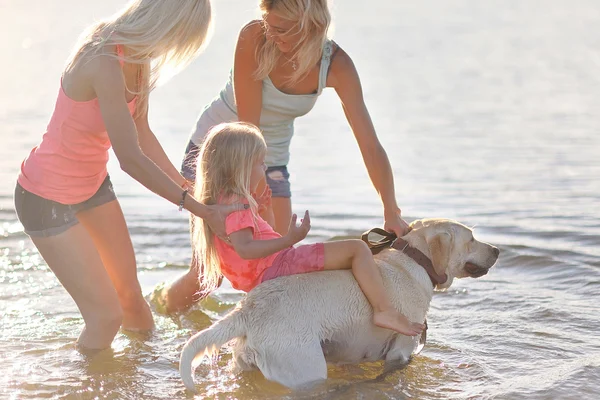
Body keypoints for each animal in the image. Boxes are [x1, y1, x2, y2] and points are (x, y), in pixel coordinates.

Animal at [180, 219, 500, 390]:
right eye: (472, 239)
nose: (497, 250)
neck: (414, 260)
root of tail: (248, 309)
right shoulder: (401, 351)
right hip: (304, 368)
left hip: (243, 365)